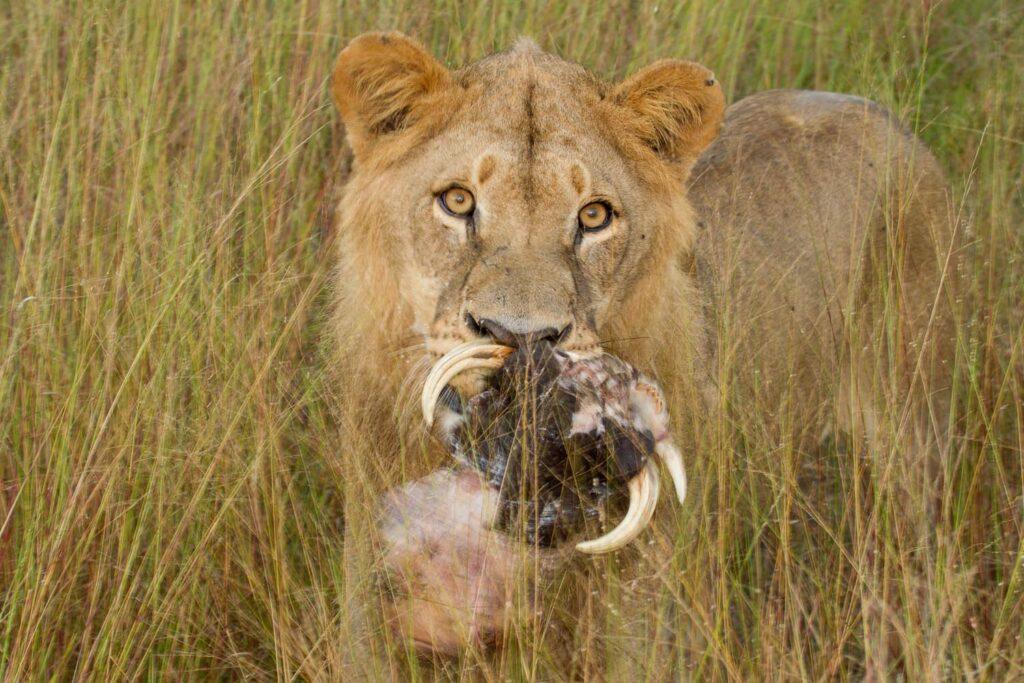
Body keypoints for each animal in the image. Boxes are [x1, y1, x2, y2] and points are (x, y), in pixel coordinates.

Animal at [328, 32, 956, 674]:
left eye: (594, 215)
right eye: (457, 201)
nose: (522, 339)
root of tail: (877, 112)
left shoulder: (640, 627)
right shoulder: (366, 611)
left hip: (917, 442)